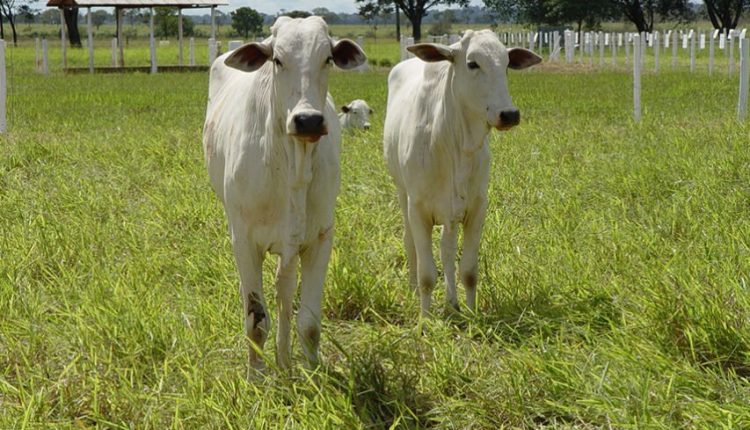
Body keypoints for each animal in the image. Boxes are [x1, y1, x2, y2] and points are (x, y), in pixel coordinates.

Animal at [202, 16, 366, 376]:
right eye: (277, 60)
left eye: (327, 59)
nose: (308, 120)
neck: (292, 165)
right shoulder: (245, 241)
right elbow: (256, 320)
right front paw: (255, 378)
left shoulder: (319, 238)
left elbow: (308, 321)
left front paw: (313, 374)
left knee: (284, 291)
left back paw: (284, 360)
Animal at [383, 30, 541, 318]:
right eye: (472, 63)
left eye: (506, 65)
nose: (509, 114)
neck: (453, 143)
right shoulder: (418, 209)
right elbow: (426, 274)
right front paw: (424, 320)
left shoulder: (476, 208)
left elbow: (467, 270)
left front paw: (471, 312)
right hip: (402, 193)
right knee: (410, 243)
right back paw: (414, 290)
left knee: (446, 249)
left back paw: (452, 301)